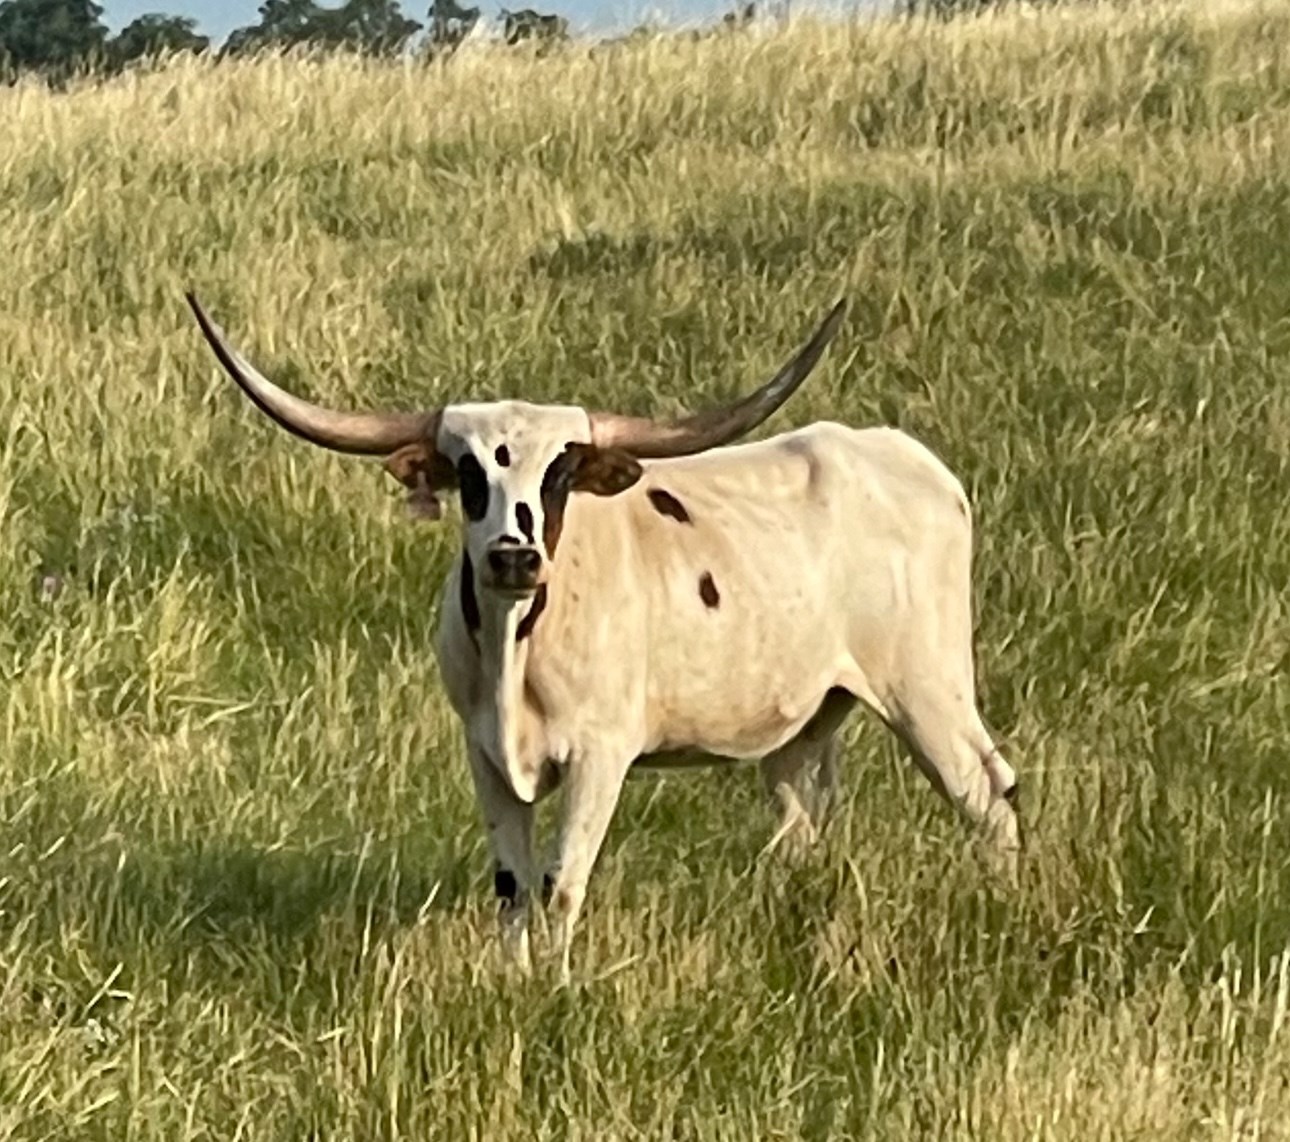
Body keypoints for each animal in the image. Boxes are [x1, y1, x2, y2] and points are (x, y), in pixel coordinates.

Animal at [185, 293, 1021, 981]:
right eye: (468, 473)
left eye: (560, 474)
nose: (513, 555)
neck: (515, 654)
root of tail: (900, 454)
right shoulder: (484, 754)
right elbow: (512, 885)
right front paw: (512, 982)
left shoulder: (600, 755)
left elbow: (561, 881)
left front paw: (556, 986)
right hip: (807, 718)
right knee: (802, 821)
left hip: (928, 689)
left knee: (988, 792)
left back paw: (1003, 903)